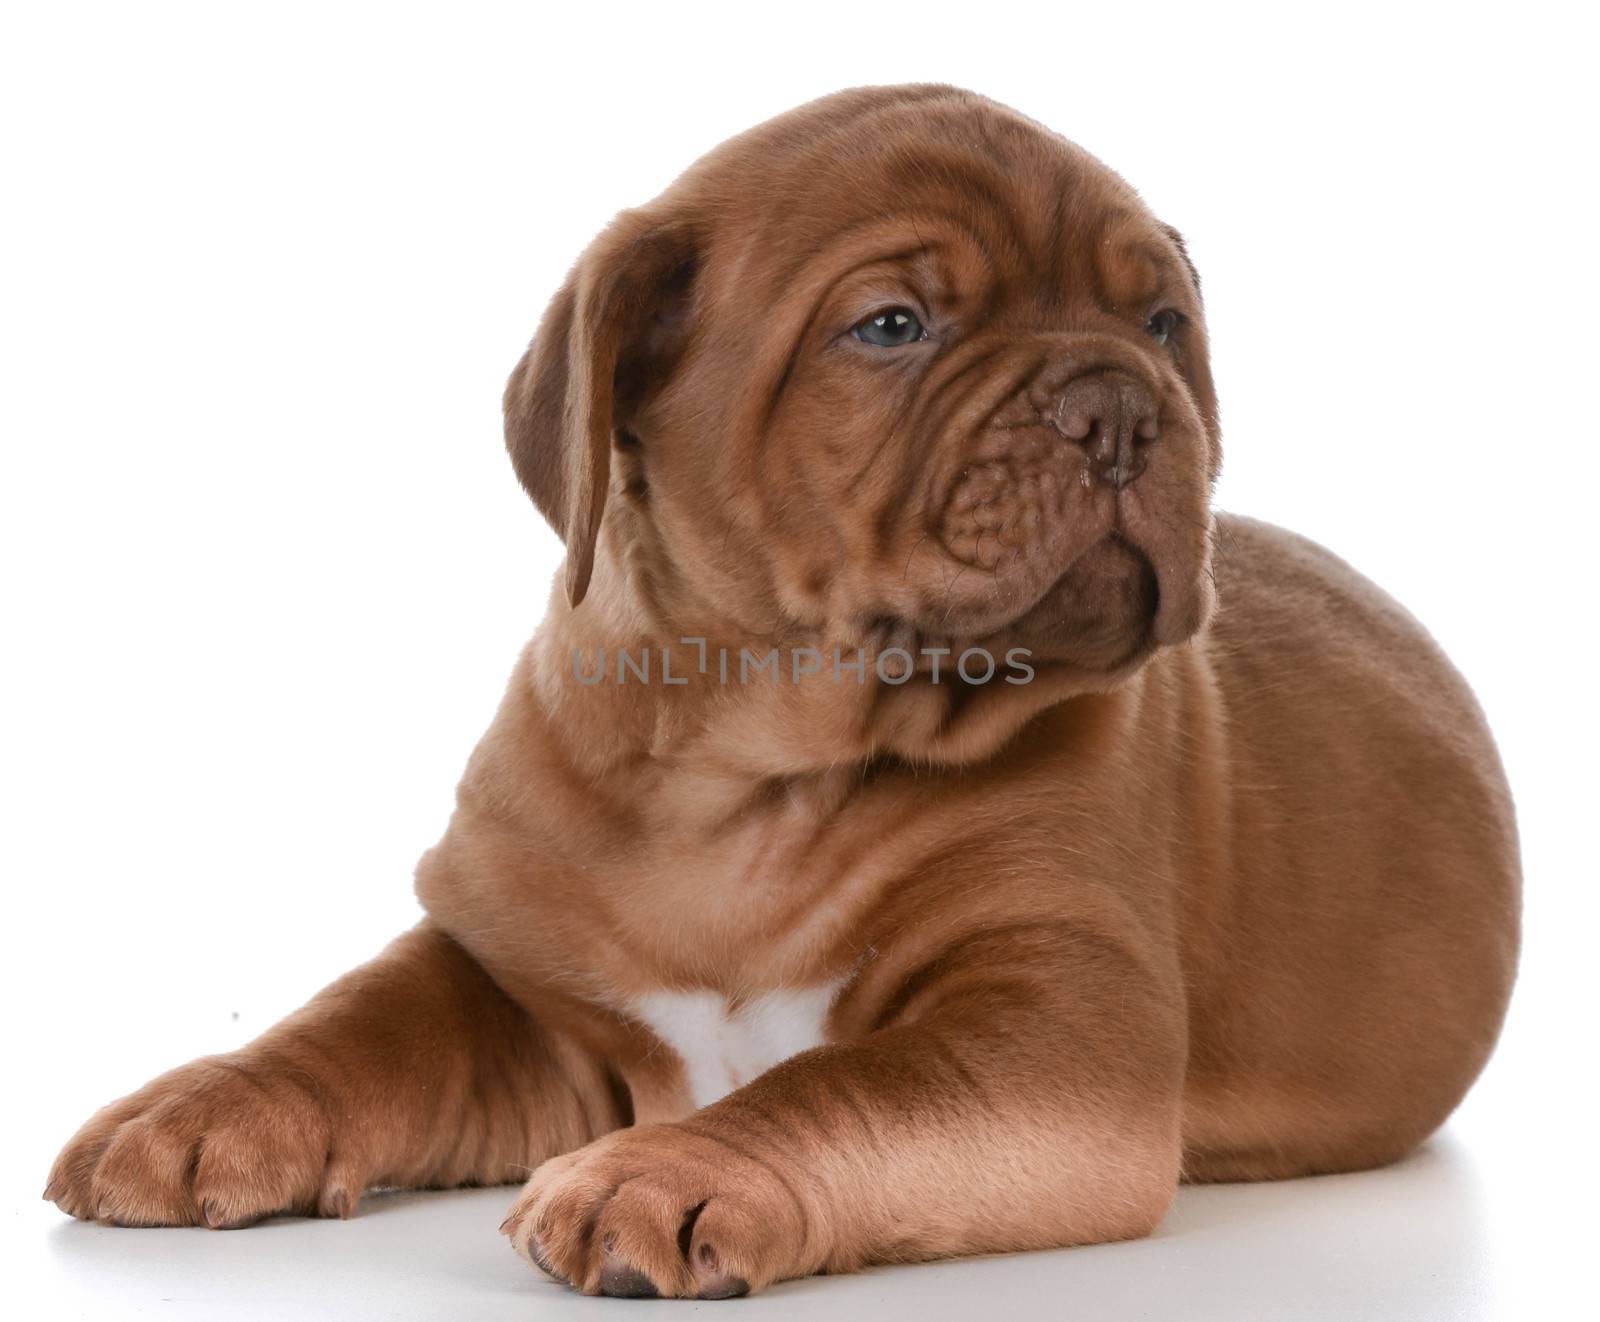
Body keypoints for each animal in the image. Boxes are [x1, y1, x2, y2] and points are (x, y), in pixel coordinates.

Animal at [46, 87, 1510, 1293]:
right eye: (892, 326)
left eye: (1161, 325)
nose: (1123, 405)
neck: (747, 775)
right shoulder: (523, 983)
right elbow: (366, 1017)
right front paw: (196, 1107)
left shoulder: (1058, 1017)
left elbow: (843, 1082)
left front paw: (669, 1169)